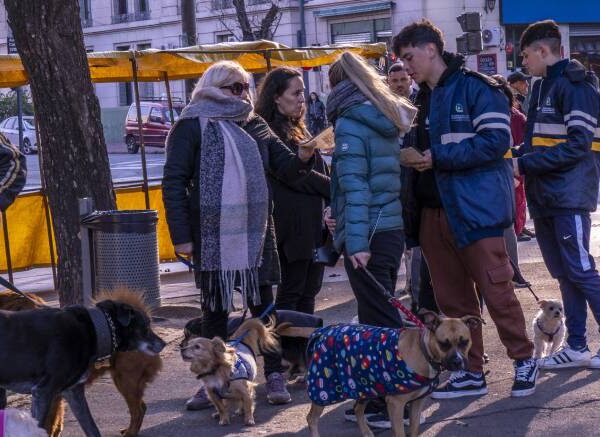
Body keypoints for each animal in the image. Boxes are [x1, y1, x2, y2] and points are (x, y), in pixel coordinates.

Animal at [0, 294, 165, 434]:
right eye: (147, 325)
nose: (163, 343)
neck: (97, 329)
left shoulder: (71, 392)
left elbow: (92, 428)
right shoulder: (44, 392)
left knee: (139, 408)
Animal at [308, 310, 480, 436]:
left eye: (465, 342)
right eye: (443, 344)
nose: (458, 362)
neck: (423, 351)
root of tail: (323, 332)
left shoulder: (417, 403)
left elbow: (413, 430)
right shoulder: (395, 405)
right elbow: (400, 433)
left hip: (364, 385)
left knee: (358, 409)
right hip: (323, 390)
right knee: (311, 419)